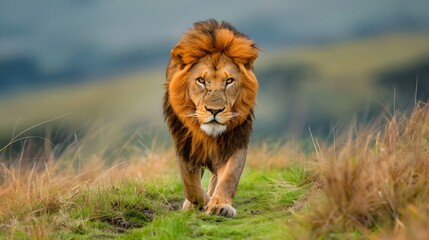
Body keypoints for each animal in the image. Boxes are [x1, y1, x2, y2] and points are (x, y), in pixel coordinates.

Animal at [163, 18, 258, 218]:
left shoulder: (236, 140)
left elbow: (229, 177)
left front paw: (220, 205)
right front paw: (202, 203)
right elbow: (190, 185)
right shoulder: (184, 144)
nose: (215, 110)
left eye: (229, 81)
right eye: (200, 80)